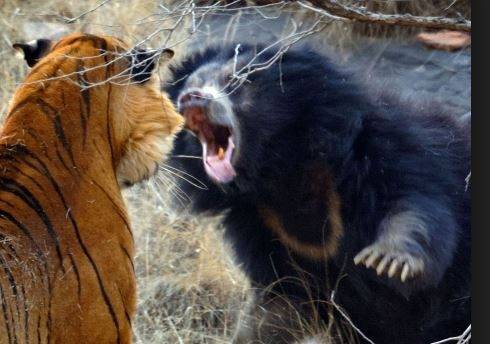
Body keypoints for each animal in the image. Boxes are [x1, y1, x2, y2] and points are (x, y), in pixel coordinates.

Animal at [166, 43, 470, 344]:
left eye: (235, 81)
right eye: (191, 85)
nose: (191, 99)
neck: (281, 171)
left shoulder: (390, 147)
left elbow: (414, 206)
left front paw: (389, 261)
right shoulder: (262, 227)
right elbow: (283, 299)